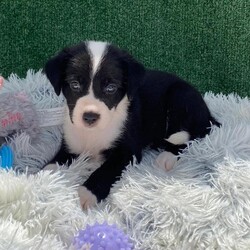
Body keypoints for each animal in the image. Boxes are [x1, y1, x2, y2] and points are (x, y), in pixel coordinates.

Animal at [45, 40, 219, 209]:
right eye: (75, 84)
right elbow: (57, 160)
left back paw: (166, 157)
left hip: (180, 96)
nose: (89, 117)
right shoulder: (71, 142)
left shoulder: (128, 151)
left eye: (111, 88)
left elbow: (106, 169)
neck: (93, 133)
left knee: (189, 136)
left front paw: (87, 193)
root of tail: (207, 113)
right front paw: (46, 176)